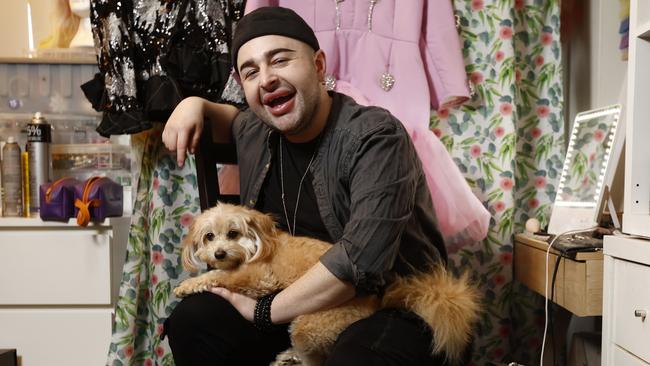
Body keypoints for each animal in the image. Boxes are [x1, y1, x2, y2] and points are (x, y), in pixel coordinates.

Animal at [175, 202, 478, 364]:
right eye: (209, 236)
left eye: (233, 233)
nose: (219, 254)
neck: (260, 244)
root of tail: (378, 302)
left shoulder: (259, 277)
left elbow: (222, 276)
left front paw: (189, 285)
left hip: (308, 325)